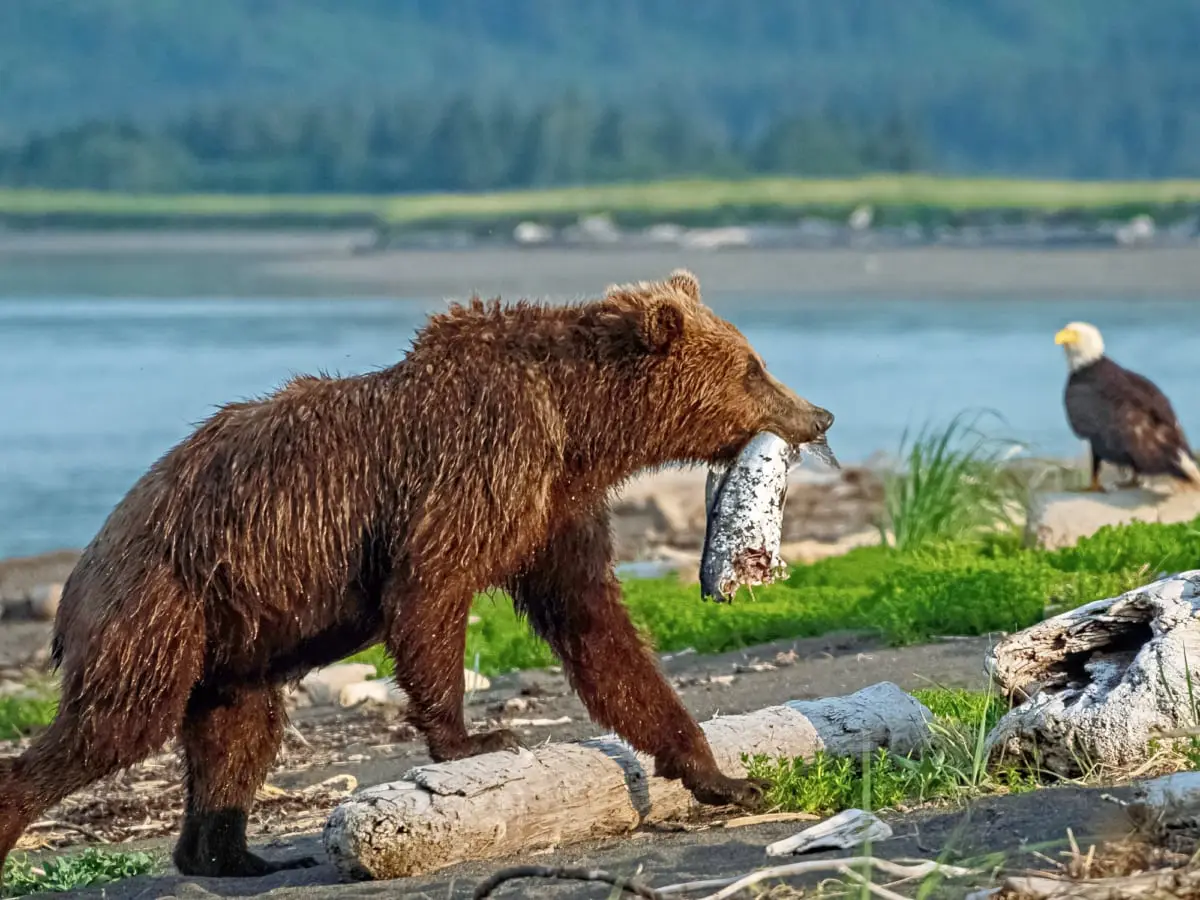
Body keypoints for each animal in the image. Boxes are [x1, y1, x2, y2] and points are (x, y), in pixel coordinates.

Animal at [0, 267, 835, 883]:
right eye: (754, 367)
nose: (819, 414)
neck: (578, 427)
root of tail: (86, 562)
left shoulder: (556, 513)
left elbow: (599, 633)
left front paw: (723, 777)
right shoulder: (478, 466)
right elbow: (431, 593)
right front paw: (474, 738)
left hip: (232, 633)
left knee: (238, 731)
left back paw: (237, 854)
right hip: (160, 599)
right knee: (116, 722)